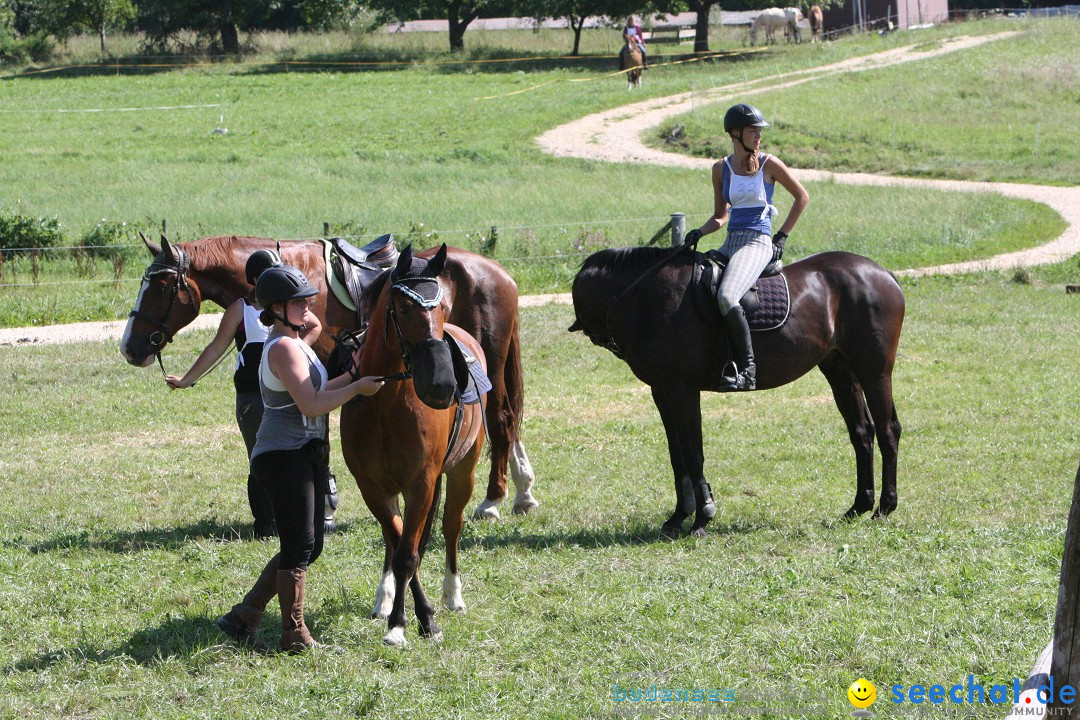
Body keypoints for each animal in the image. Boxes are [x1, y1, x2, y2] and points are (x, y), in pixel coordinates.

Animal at [118, 234, 535, 520]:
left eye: (159, 286)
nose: (130, 348)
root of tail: (500, 273)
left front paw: (327, 501)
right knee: (509, 423)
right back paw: (522, 491)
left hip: (489, 365)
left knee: (501, 420)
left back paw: (494, 499)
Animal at [570, 248, 907, 535]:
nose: (613, 345)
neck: (648, 297)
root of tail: (882, 273)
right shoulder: (662, 391)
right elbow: (677, 455)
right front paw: (679, 516)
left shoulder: (682, 390)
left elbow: (693, 453)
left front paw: (703, 516)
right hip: (840, 370)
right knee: (862, 432)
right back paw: (859, 507)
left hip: (874, 372)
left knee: (887, 430)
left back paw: (884, 507)